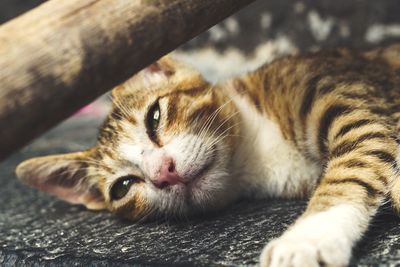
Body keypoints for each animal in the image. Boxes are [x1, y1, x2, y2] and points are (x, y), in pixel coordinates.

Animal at [14, 44, 400, 267]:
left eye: (155, 117)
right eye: (123, 186)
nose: (164, 172)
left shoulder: (358, 102)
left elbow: (353, 165)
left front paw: (307, 238)